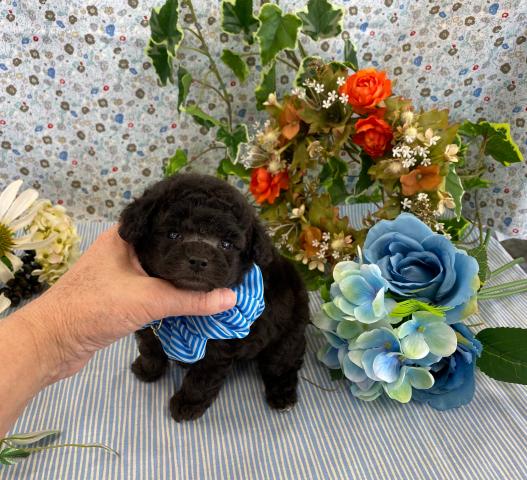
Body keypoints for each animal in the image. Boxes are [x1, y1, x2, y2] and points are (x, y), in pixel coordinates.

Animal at [118, 174, 309, 421]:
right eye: (173, 234)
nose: (199, 260)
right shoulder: (149, 317)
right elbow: (150, 347)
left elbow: (202, 377)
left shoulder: (218, 346)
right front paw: (147, 369)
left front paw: (188, 404)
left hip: (286, 334)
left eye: (226, 244)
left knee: (282, 363)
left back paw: (282, 395)